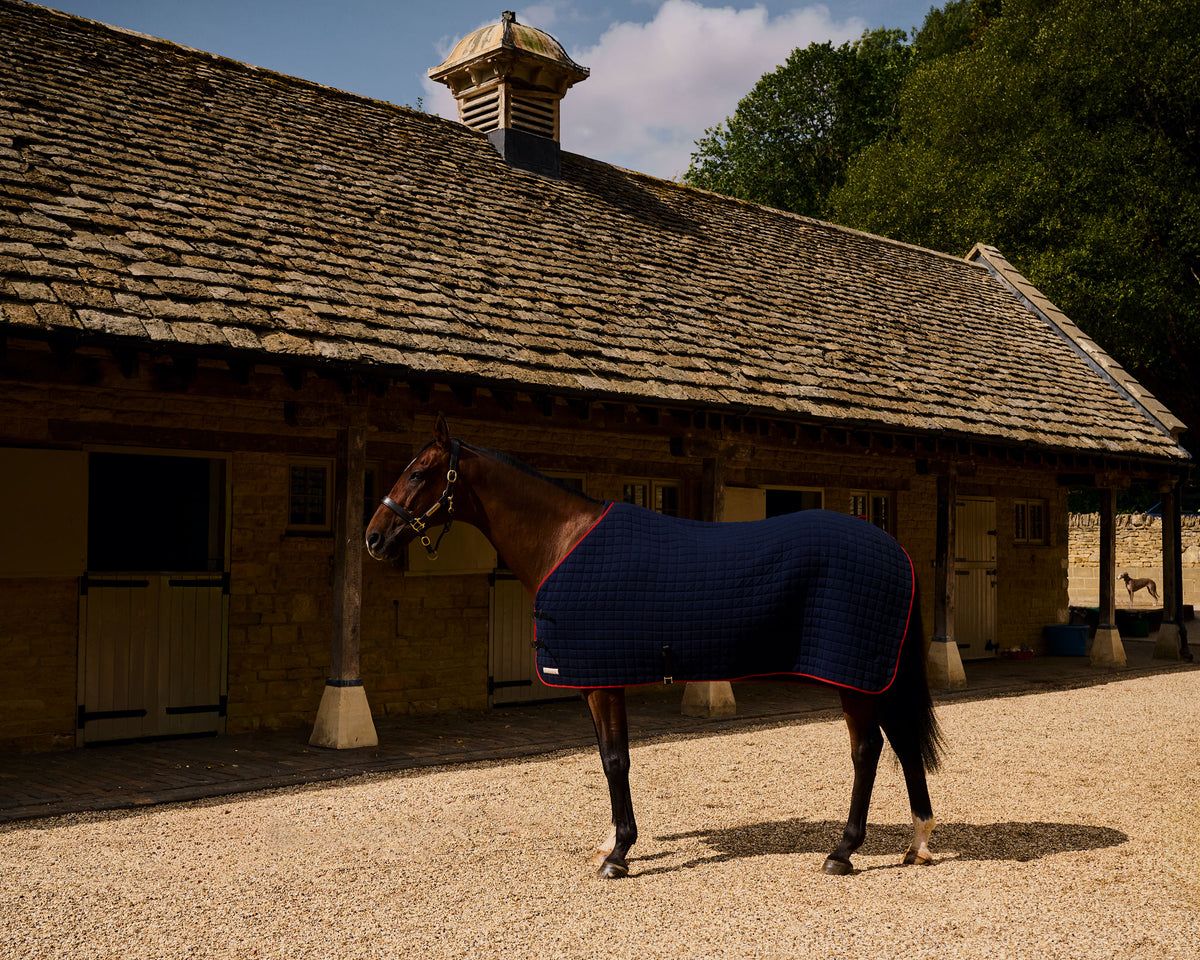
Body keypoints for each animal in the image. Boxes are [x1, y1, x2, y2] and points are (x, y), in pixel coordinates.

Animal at [365, 416, 943, 878]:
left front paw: (618, 855)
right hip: (875, 674)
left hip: (854, 674)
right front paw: (610, 843)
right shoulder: (595, 678)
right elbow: (606, 757)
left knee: (867, 752)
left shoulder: (603, 680)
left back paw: (842, 852)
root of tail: (896, 550)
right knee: (901, 743)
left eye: (417, 472)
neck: (565, 540)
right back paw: (917, 843)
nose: (373, 538)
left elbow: (615, 760)